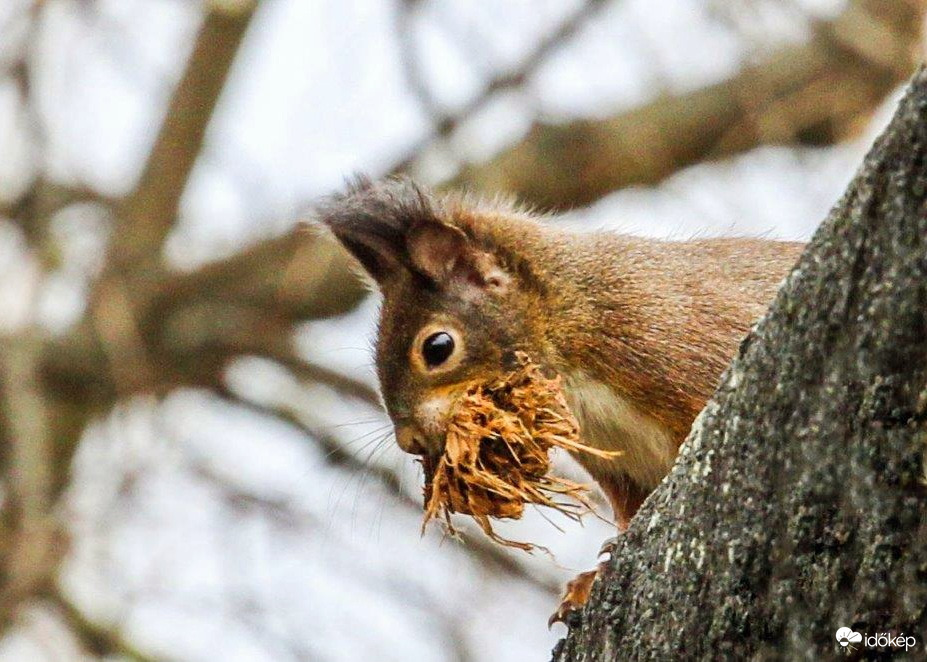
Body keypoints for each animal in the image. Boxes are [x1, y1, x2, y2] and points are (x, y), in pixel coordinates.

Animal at [320, 175, 804, 628]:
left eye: (437, 347)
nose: (410, 441)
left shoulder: (673, 335)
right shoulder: (618, 465)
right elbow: (630, 516)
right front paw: (592, 581)